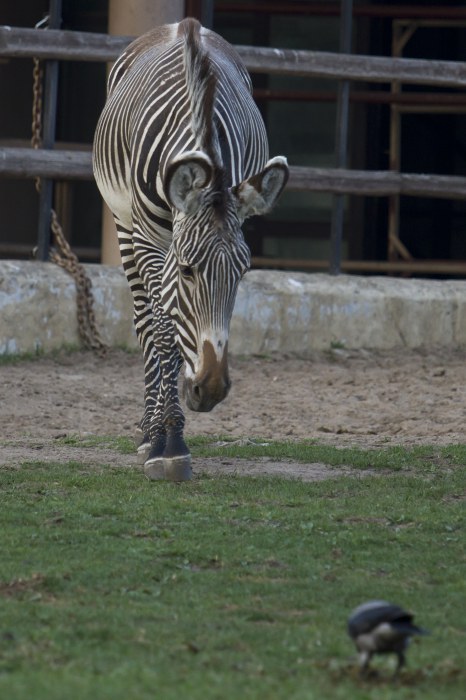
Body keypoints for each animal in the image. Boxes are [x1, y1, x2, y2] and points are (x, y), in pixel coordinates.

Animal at [92, 20, 286, 482]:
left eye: (243, 274)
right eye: (186, 271)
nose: (210, 389)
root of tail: (178, 26)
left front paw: (173, 434)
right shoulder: (149, 240)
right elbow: (164, 332)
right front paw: (168, 444)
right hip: (124, 224)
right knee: (145, 320)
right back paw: (148, 431)